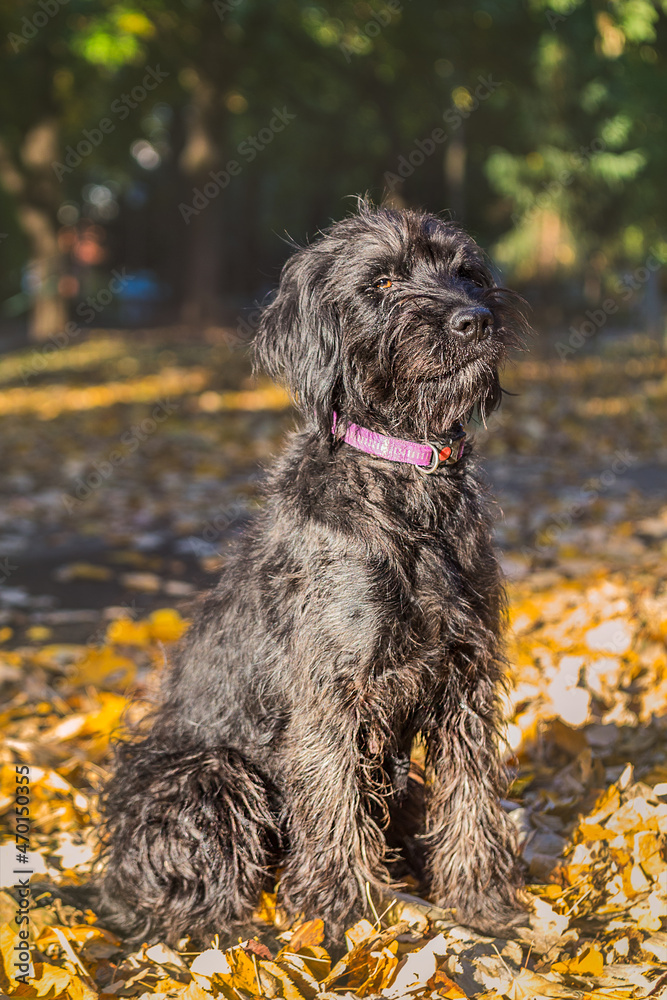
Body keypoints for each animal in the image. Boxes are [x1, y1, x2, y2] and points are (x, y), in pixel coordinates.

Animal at [100, 201, 532, 944]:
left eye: (468, 274)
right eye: (382, 281)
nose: (473, 320)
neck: (402, 479)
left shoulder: (465, 677)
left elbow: (470, 795)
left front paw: (480, 904)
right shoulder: (332, 691)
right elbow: (334, 807)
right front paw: (344, 922)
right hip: (210, 773)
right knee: (189, 898)